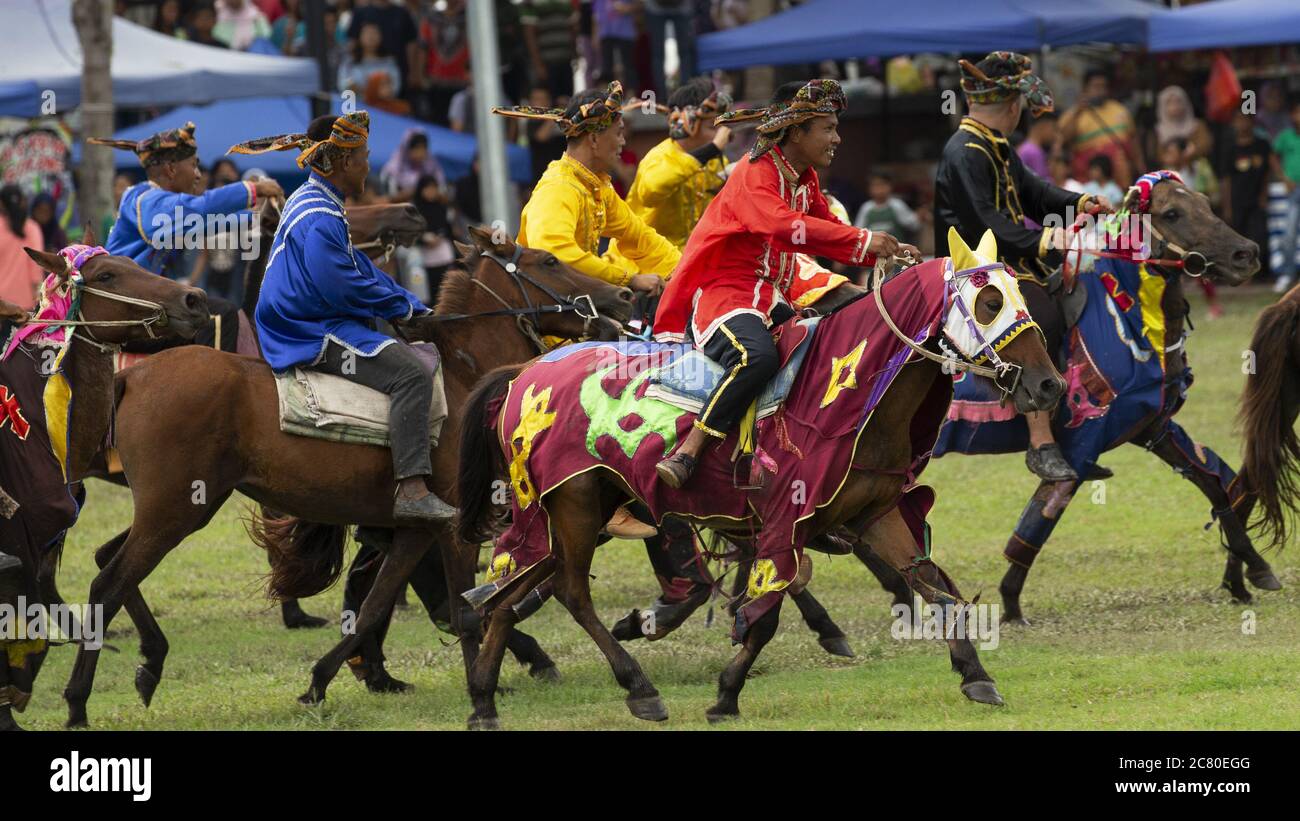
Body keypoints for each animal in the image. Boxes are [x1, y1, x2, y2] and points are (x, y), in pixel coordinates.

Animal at [58, 223, 637, 722]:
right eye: (550, 260)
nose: (623, 297)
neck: (463, 375)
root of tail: (135, 376)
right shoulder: (455, 527)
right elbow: (463, 609)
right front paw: (483, 687)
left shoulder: (414, 530)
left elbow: (377, 605)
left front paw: (319, 681)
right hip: (175, 510)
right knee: (108, 583)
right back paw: (79, 702)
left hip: (179, 506)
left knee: (108, 561)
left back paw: (150, 663)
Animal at [457, 227, 1066, 727]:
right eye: (989, 303)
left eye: (1016, 295)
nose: (1049, 386)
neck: (847, 393)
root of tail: (526, 373)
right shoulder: (784, 522)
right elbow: (767, 611)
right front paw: (727, 694)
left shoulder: (877, 514)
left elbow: (938, 589)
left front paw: (976, 676)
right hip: (572, 503)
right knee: (567, 590)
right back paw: (638, 688)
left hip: (574, 510)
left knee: (512, 590)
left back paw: (484, 700)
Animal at [925, 175, 1279, 620]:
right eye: (1172, 213)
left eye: (1205, 202)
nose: (1246, 254)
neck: (1127, 318)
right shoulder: (1082, 444)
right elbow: (1040, 520)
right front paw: (1010, 603)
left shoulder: (1154, 428)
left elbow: (1216, 486)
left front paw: (1254, 569)